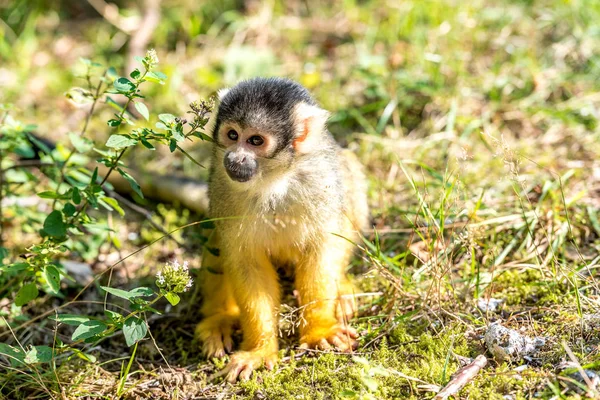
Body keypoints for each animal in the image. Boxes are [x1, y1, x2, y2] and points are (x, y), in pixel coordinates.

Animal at [195, 77, 368, 382]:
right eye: (232, 135)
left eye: (255, 140)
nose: (235, 157)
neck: (273, 180)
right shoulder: (222, 188)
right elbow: (246, 262)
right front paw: (259, 349)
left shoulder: (319, 179)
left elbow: (322, 248)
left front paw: (319, 329)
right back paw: (218, 317)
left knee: (349, 177)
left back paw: (342, 288)